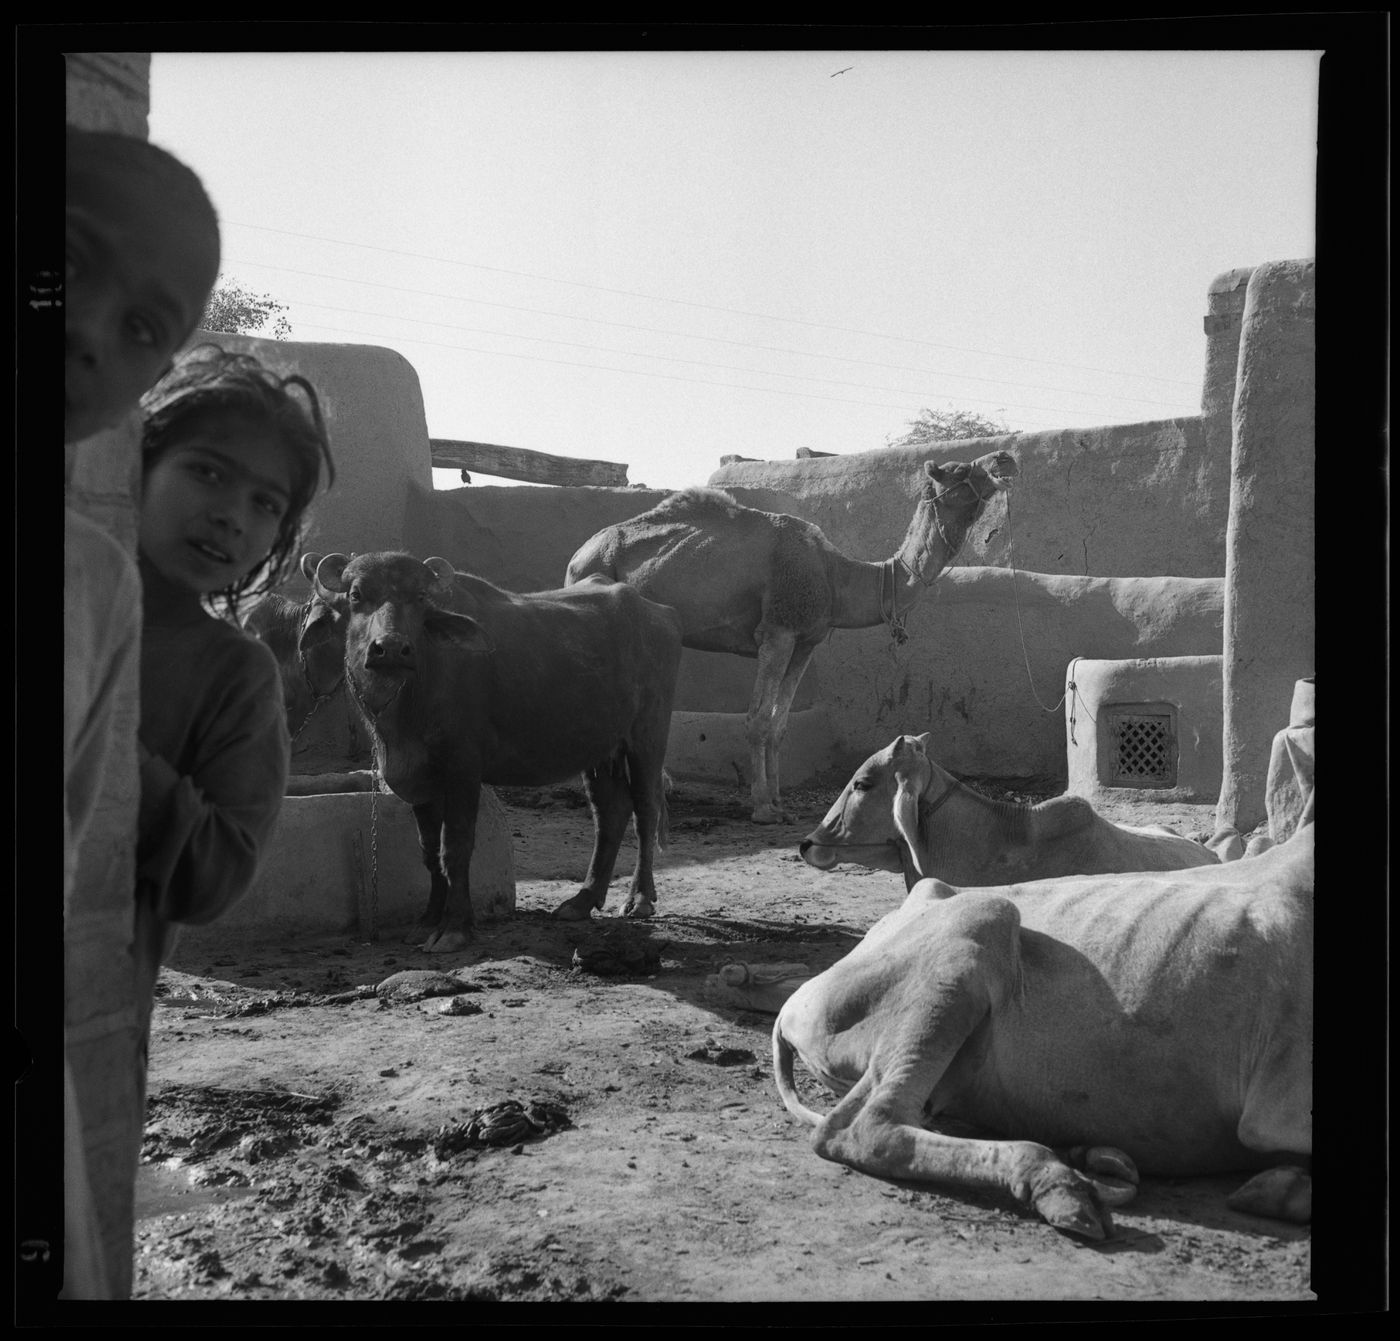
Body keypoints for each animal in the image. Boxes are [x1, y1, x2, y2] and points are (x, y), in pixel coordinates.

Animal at [309, 551, 680, 951]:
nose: (390, 647)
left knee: (645, 810)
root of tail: (660, 614)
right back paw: (582, 900)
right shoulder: (419, 780)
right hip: (600, 748)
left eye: (420, 598)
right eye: (357, 595)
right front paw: (427, 921)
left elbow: (455, 848)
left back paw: (639, 898)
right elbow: (429, 852)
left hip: (647, 735)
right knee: (610, 812)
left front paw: (455, 926)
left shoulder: (463, 769)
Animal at [565, 456, 1019, 823]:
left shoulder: (806, 642)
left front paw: (781, 802)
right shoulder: (777, 632)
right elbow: (758, 720)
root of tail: (577, 556)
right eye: (961, 468)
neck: (836, 576)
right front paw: (763, 807)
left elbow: (780, 723)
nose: (1005, 458)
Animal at [761, 823, 1304, 1243]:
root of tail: (793, 1004)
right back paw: (1060, 1186)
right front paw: (1277, 1190)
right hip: (980, 923)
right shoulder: (1275, 1110)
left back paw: (1091, 1159)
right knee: (859, 1128)